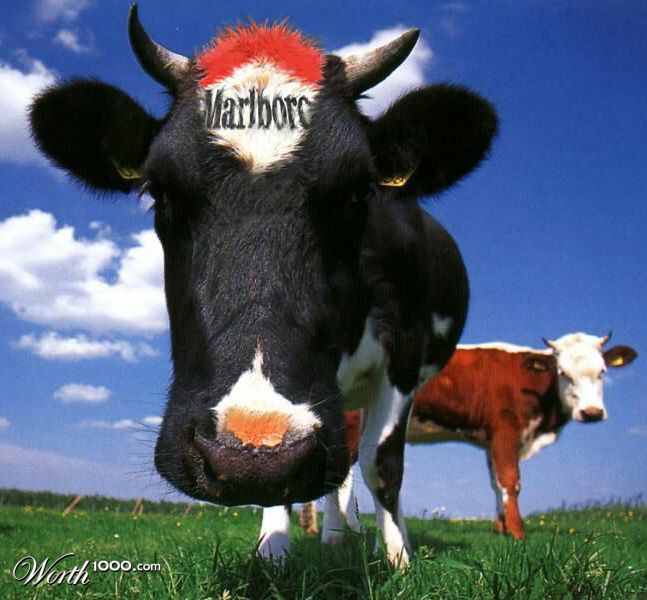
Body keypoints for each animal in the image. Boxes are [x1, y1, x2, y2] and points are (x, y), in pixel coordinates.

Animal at [29, 4, 498, 564]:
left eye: (359, 192)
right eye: (159, 191)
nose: (249, 454)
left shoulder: (404, 353)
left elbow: (382, 466)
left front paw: (399, 558)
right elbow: (298, 486)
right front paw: (274, 551)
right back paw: (333, 536)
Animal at [309, 332, 637, 542]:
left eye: (602, 372)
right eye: (563, 372)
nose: (591, 412)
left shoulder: (490, 440)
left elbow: (495, 483)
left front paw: (501, 529)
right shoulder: (505, 429)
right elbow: (510, 481)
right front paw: (518, 533)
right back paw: (334, 537)